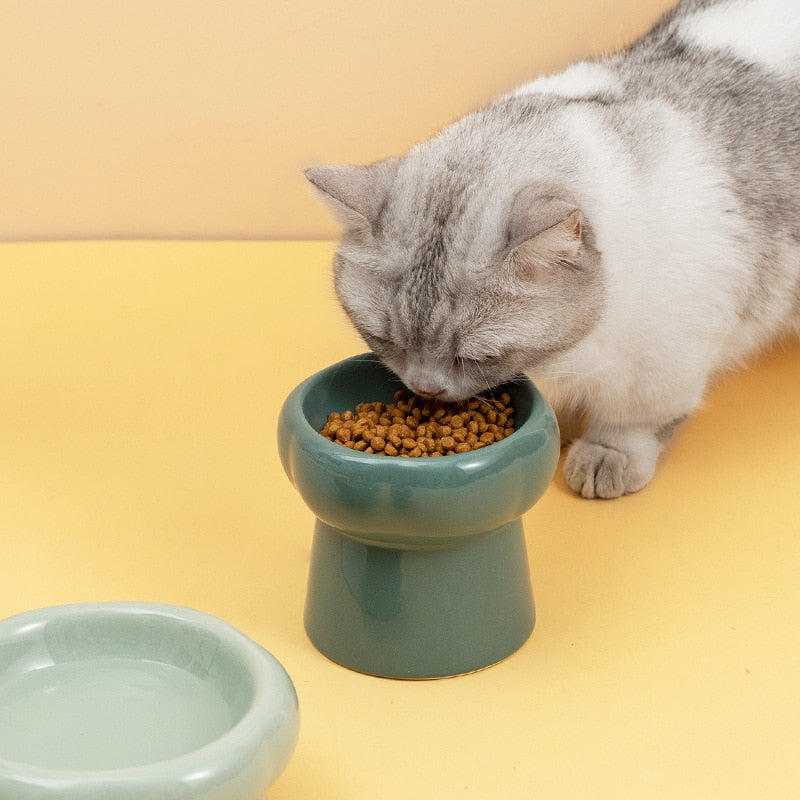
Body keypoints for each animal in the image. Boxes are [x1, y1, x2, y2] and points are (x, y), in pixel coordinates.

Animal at [304, 0, 800, 496]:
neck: (571, 352)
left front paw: (606, 455)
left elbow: (631, 424)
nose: (425, 389)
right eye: (385, 340)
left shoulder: (662, 364)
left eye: (476, 356)